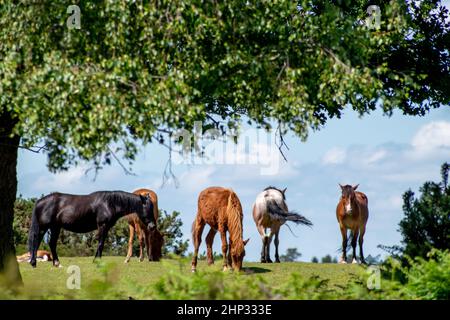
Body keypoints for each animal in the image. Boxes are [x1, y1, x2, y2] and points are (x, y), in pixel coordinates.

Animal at [28, 190, 156, 268]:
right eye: (148, 208)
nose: (152, 226)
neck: (109, 203)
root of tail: (40, 201)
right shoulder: (102, 226)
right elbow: (100, 243)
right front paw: (96, 261)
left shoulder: (106, 228)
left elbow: (101, 243)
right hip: (44, 227)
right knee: (36, 241)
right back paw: (33, 263)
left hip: (55, 227)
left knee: (52, 243)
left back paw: (57, 263)